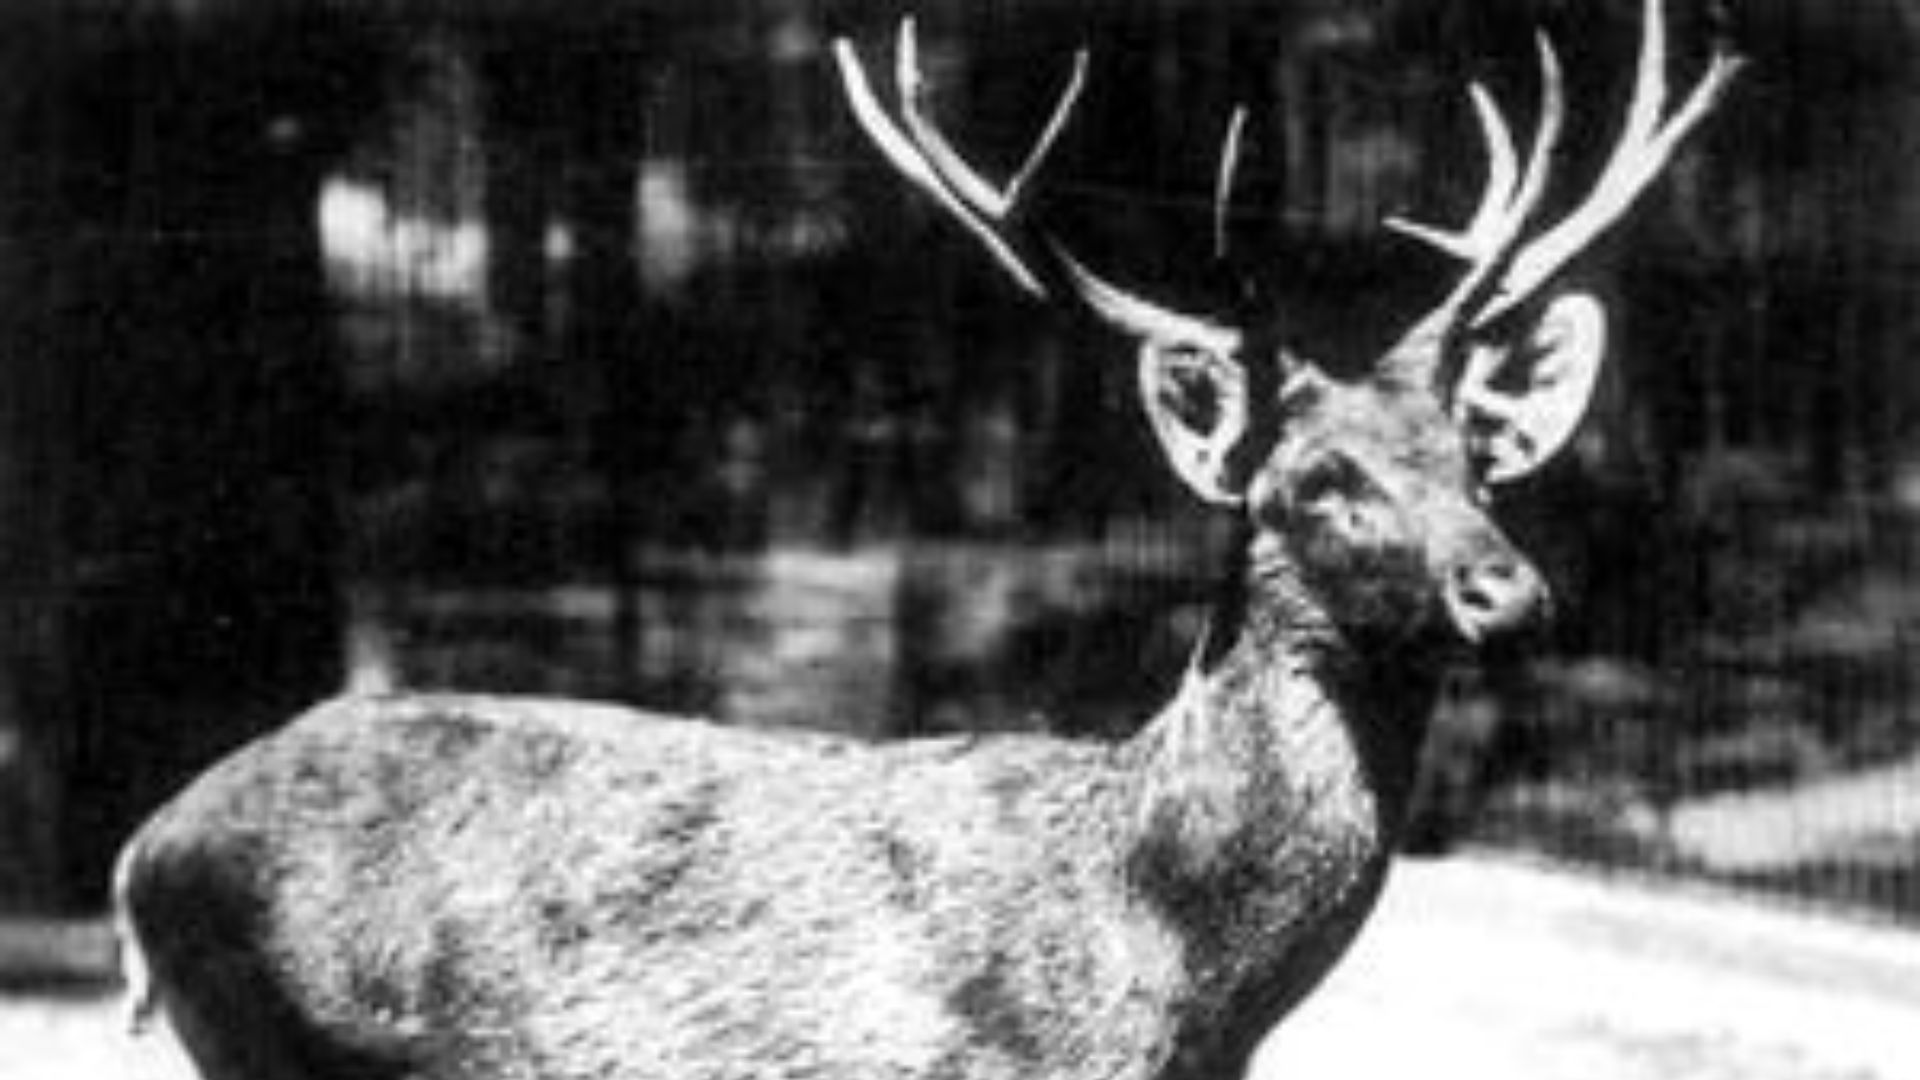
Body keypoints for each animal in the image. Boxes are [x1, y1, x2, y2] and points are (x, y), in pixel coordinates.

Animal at [113, 2, 1737, 1078]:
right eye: (1317, 480)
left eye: (1476, 460)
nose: (1508, 588)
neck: (1166, 981)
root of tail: (144, 850)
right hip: (273, 1039)